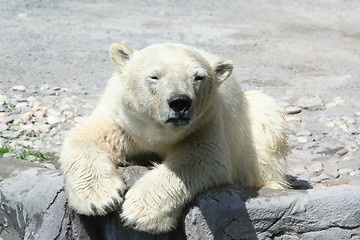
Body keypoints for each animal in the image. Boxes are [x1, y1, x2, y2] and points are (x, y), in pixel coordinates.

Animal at [60, 42, 288, 233]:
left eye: (198, 77)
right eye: (154, 76)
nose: (180, 102)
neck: (156, 131)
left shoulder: (204, 123)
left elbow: (202, 158)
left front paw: (138, 212)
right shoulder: (122, 120)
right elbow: (86, 137)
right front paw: (101, 199)